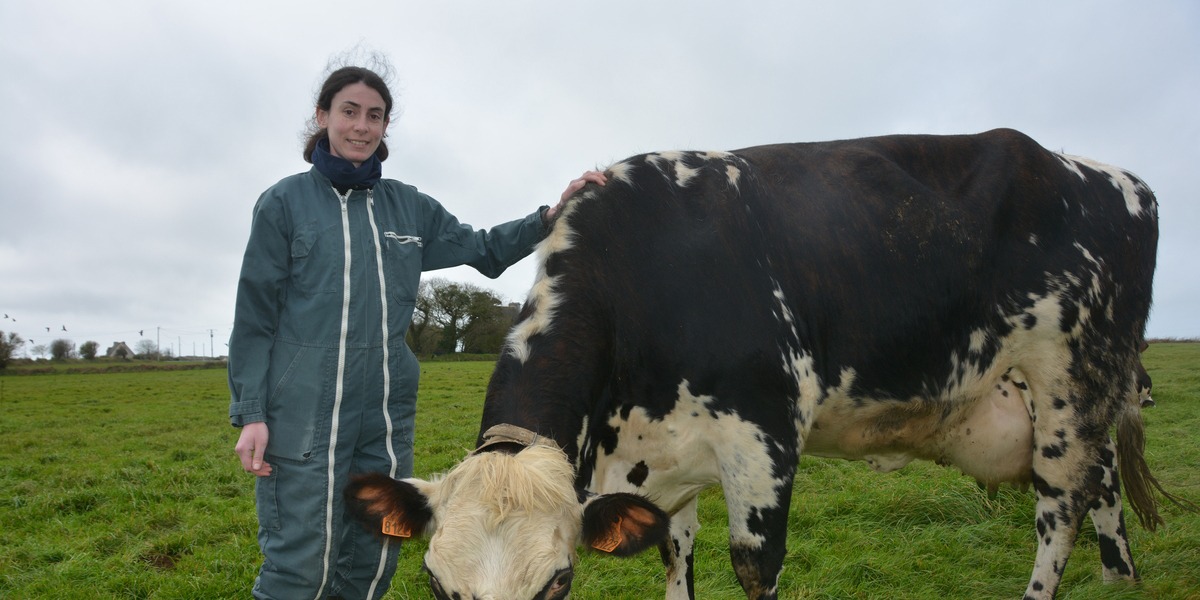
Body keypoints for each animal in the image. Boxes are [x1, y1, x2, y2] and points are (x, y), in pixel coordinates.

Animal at [350, 129, 1190, 597]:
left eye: (557, 583)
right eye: (434, 585)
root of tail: (1117, 177)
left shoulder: (763, 434)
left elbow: (755, 567)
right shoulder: (665, 459)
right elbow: (675, 559)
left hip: (1074, 381)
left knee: (1060, 509)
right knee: (1101, 487)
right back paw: (1120, 583)